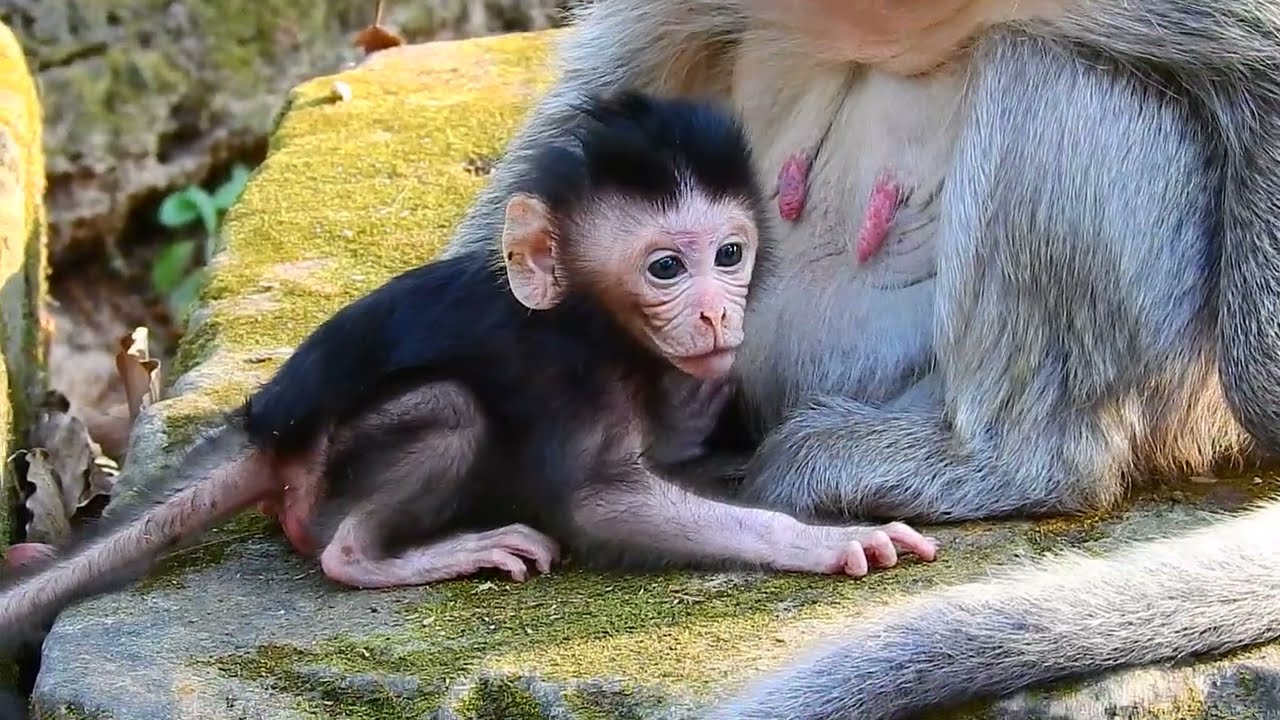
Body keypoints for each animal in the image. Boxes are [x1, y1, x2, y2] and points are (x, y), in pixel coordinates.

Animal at [0, 90, 938, 662]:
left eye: (730, 255)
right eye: (667, 267)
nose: (715, 315)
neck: (589, 320)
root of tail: (266, 418)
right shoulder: (563, 371)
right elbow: (601, 503)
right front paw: (827, 541)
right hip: (332, 462)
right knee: (442, 418)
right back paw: (380, 554)